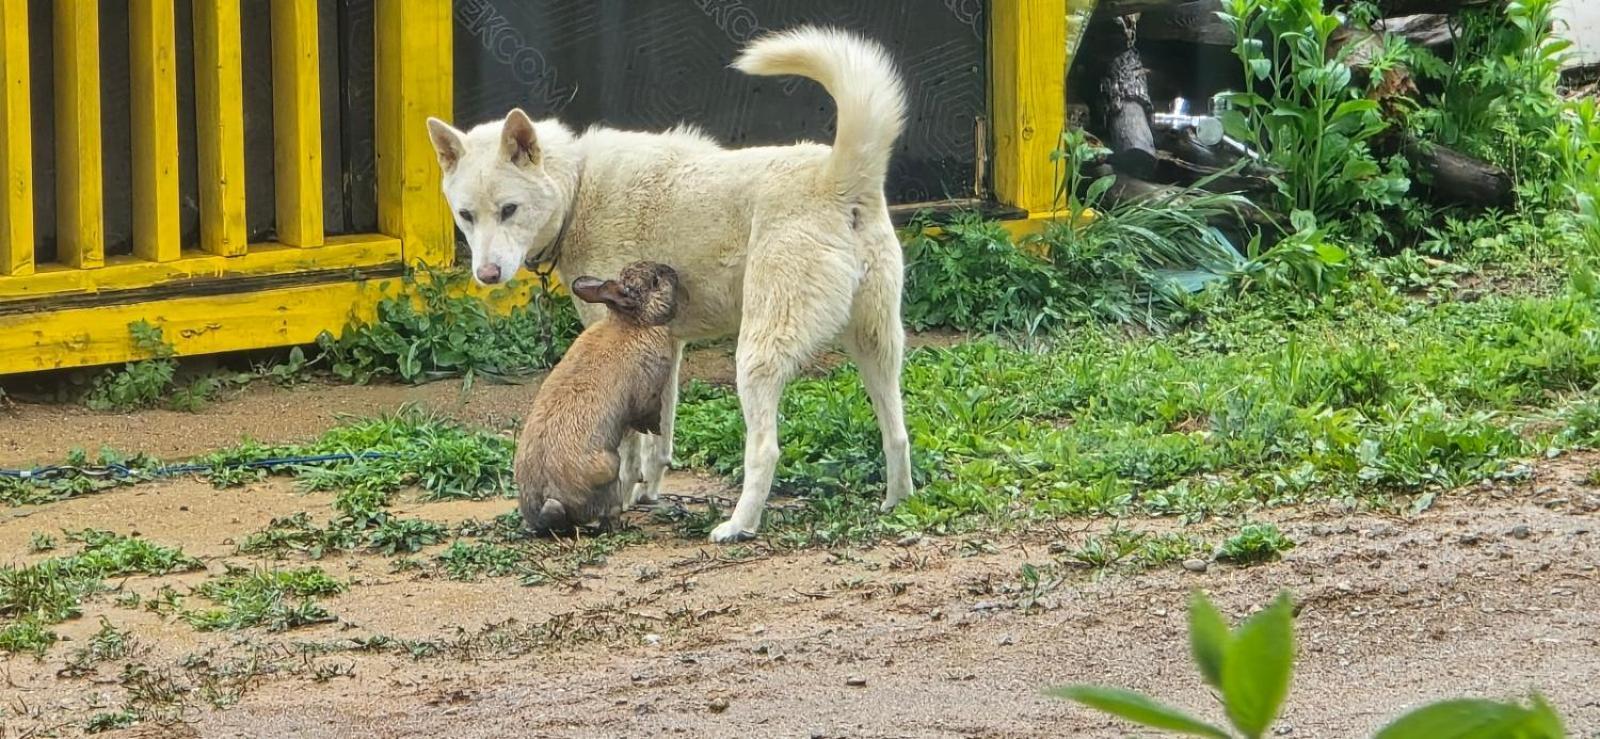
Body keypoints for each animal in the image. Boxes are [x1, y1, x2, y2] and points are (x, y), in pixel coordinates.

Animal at [518, 259, 681, 531]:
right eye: (655, 281)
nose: (673, 272)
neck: (634, 322)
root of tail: (549, 501)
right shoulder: (647, 393)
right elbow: (647, 417)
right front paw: (654, 429)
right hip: (609, 470)